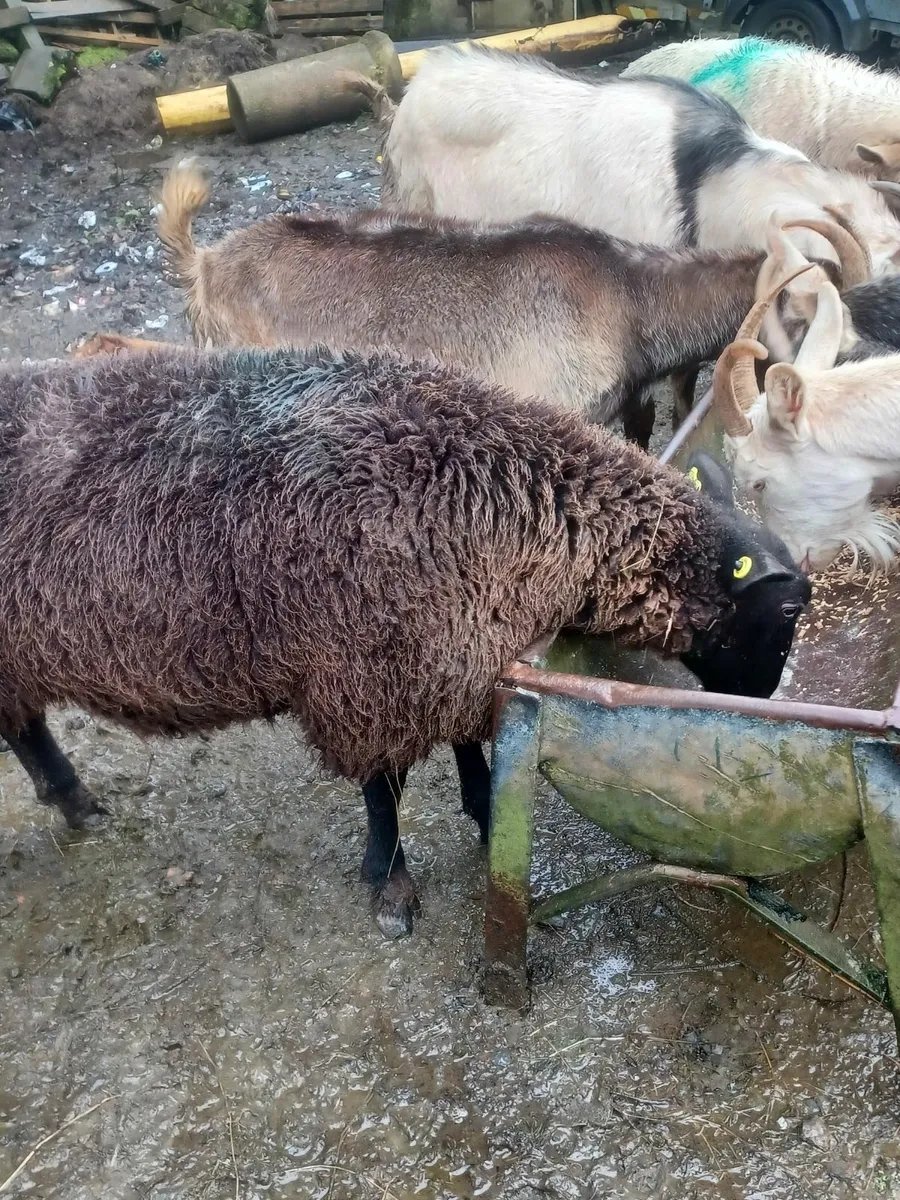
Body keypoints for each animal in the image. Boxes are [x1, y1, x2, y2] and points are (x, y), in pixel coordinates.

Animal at [0, 344, 809, 936]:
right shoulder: (366, 677)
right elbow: (384, 789)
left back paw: (72, 801)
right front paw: (390, 884)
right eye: (786, 613)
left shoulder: (454, 654)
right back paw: (73, 800)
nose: (769, 702)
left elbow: (467, 744)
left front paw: (484, 811)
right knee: (25, 726)